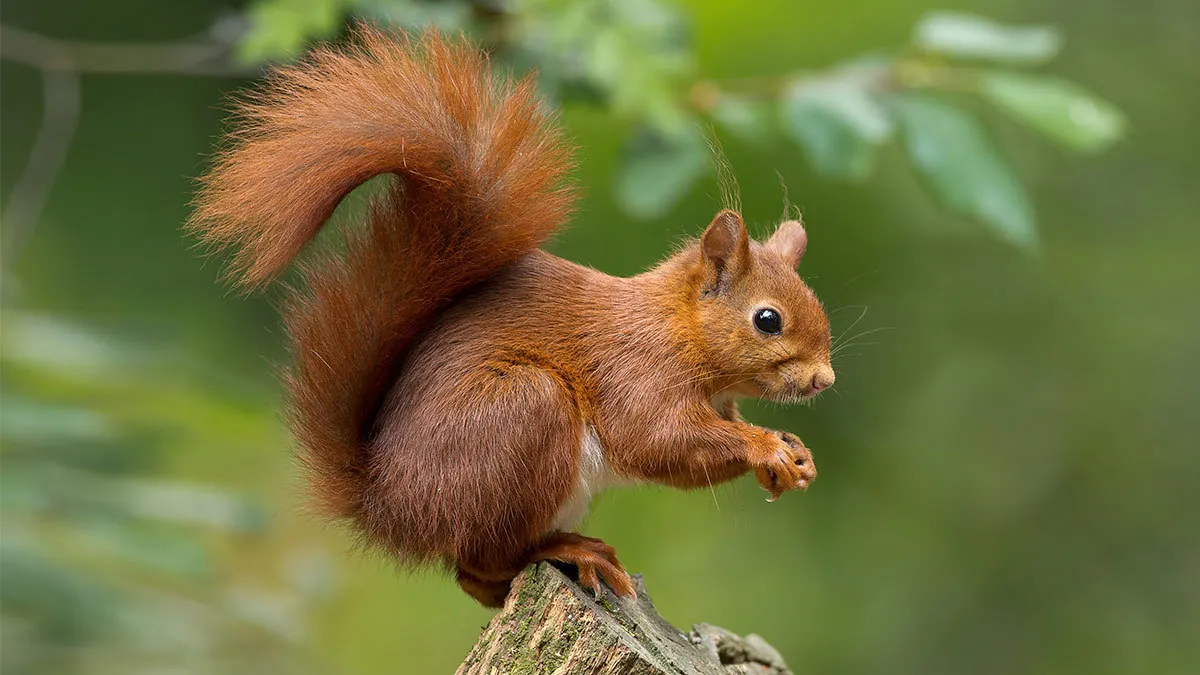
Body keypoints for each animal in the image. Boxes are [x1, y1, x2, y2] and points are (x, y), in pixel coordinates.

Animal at [188, 26, 834, 608]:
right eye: (768, 319)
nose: (824, 379)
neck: (678, 328)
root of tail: (387, 508)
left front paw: (793, 455)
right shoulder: (636, 369)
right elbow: (657, 440)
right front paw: (766, 448)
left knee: (473, 579)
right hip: (523, 415)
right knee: (483, 558)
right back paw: (567, 550)